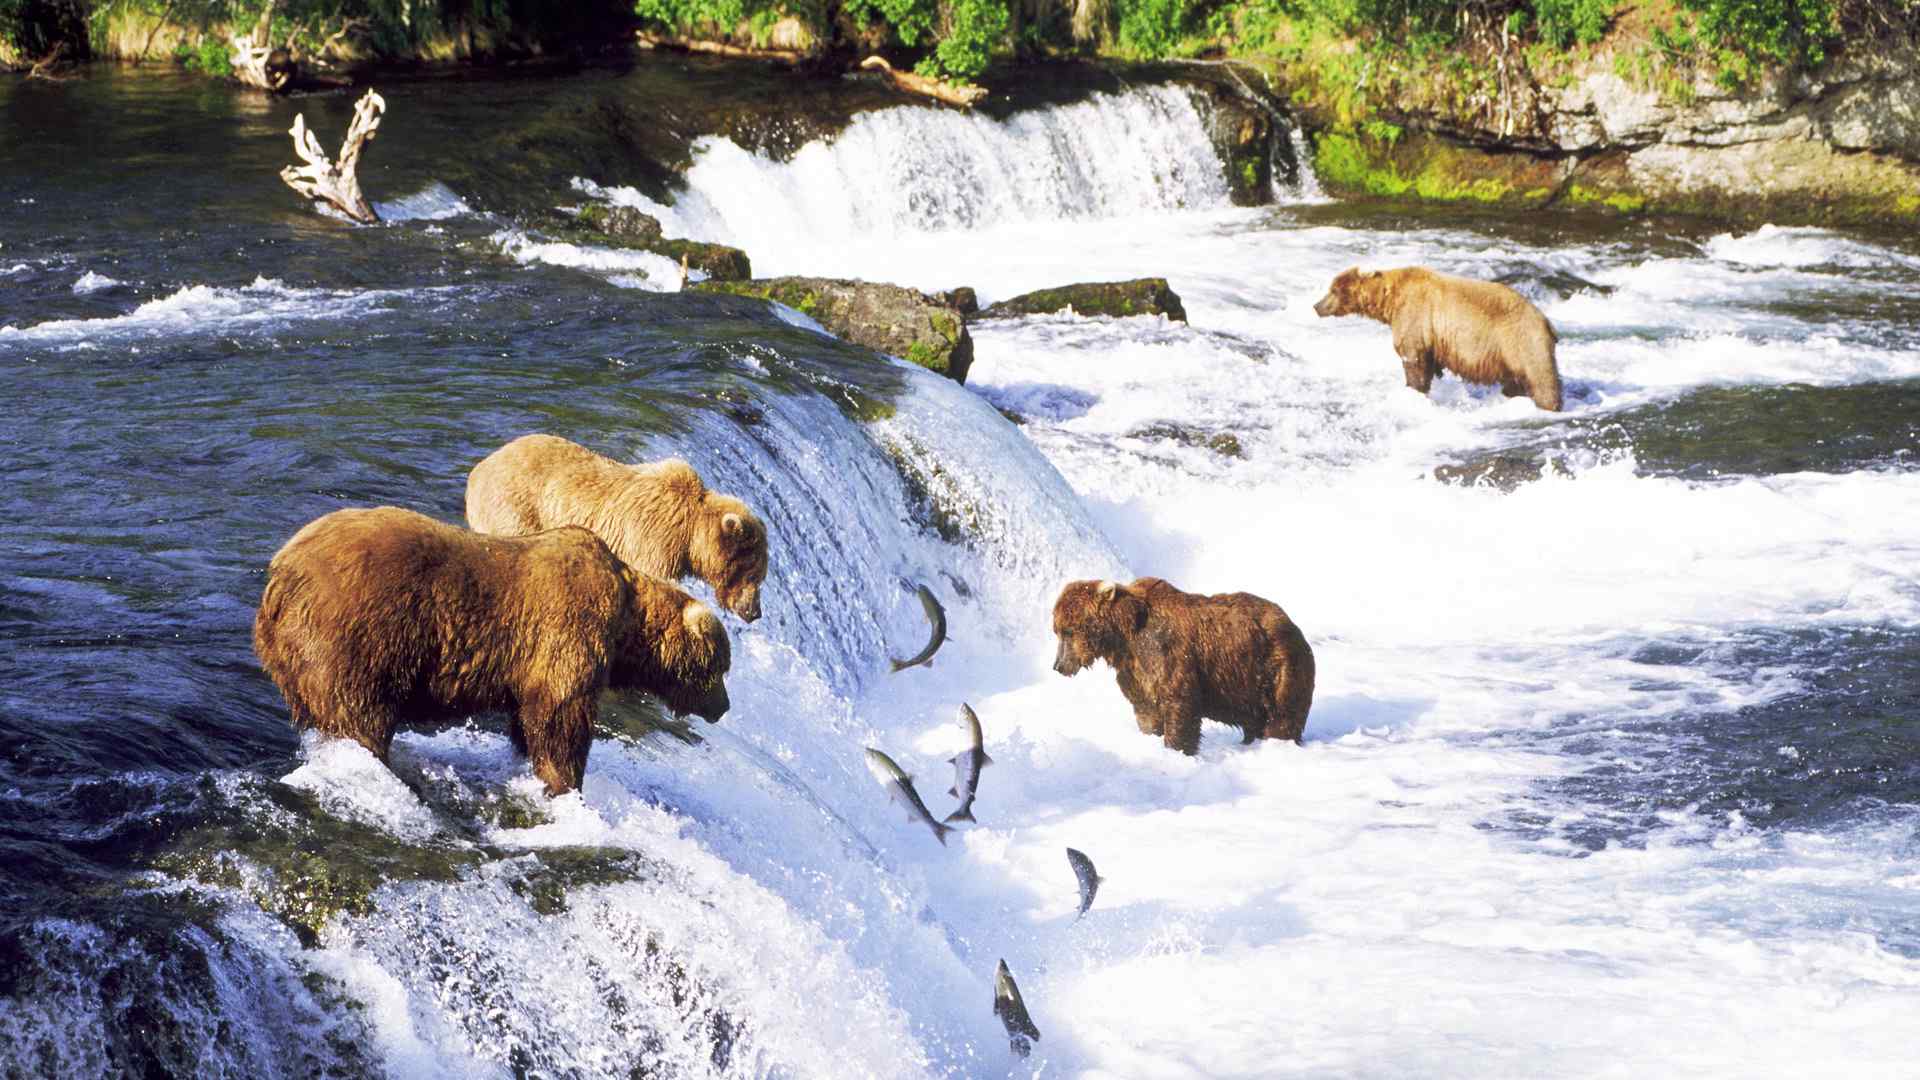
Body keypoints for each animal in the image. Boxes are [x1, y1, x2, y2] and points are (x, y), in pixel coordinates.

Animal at [251, 503, 729, 791]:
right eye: (720, 667)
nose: (723, 707)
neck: (627, 621)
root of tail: (281, 573)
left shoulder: (530, 666)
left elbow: (528, 717)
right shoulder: (568, 631)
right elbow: (561, 718)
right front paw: (566, 782)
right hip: (357, 636)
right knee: (359, 713)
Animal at [466, 432, 771, 622]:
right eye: (754, 574)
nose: (755, 612)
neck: (689, 534)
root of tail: (477, 470)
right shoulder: (652, 541)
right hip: (516, 510)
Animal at [1052, 576, 1320, 753]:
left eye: (1068, 630)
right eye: (1057, 630)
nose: (1058, 665)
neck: (1124, 636)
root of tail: (1292, 624)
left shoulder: (1167, 654)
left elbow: (1179, 703)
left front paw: (1177, 747)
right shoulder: (1135, 670)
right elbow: (1146, 710)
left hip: (1277, 666)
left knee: (1282, 717)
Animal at [1313, 263, 1566, 407]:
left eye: (1333, 290)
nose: (1316, 306)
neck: (1388, 300)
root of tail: (1547, 322)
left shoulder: (1414, 315)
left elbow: (1412, 358)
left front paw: (1413, 390)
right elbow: (1430, 364)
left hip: (1522, 341)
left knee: (1542, 379)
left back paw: (1549, 404)